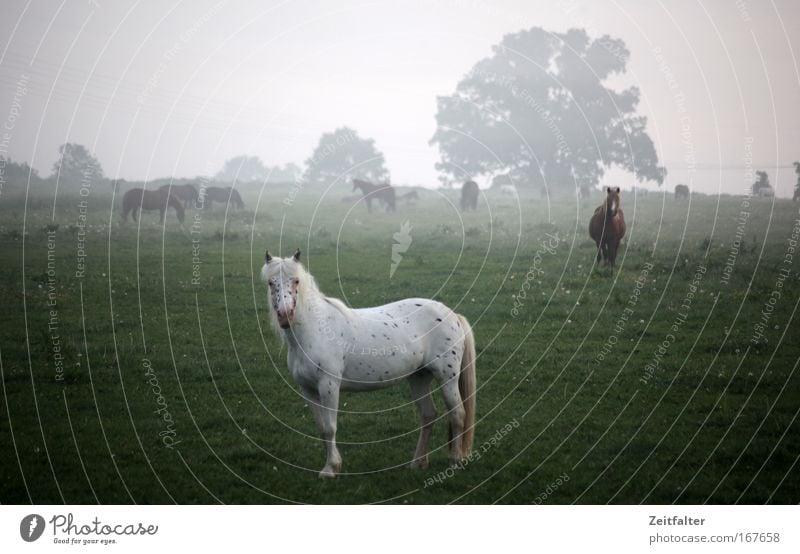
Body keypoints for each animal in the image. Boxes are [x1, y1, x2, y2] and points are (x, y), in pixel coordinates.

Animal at [262, 249, 476, 474]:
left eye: (296, 281)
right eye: (270, 282)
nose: (285, 314)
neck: (314, 331)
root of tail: (453, 315)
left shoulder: (329, 386)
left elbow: (330, 428)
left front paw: (331, 468)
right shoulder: (307, 389)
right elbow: (321, 429)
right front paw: (331, 465)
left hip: (447, 378)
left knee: (458, 414)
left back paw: (455, 460)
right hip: (419, 377)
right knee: (428, 415)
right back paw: (418, 462)